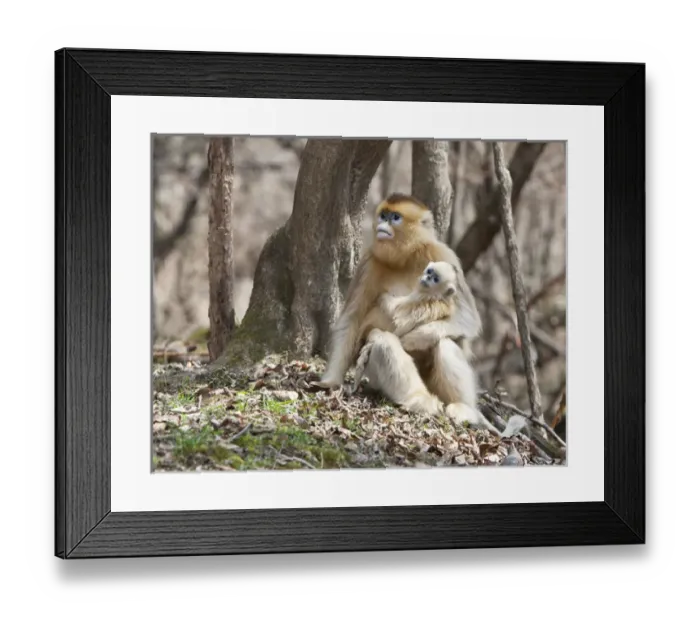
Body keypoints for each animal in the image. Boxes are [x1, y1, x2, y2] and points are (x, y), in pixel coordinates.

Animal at [316, 193, 497, 432]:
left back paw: (463, 408)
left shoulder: (443, 254)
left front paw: (414, 337)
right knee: (383, 342)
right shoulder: (369, 261)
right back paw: (420, 400)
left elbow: (468, 319)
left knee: (445, 341)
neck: (407, 257)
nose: (382, 224)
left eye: (395, 217)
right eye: (383, 215)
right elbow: (351, 321)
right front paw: (330, 381)